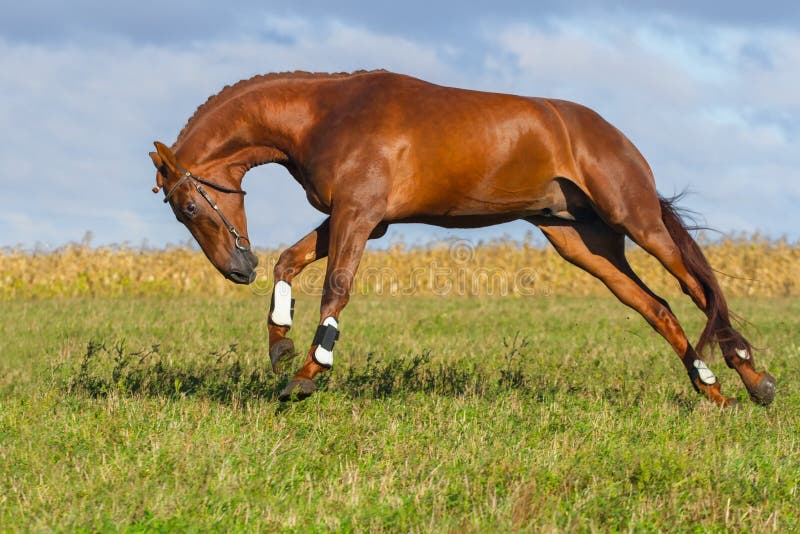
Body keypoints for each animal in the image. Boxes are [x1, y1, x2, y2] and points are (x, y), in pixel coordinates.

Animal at [148, 70, 776, 406]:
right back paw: (712, 389)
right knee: (656, 305)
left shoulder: (358, 217)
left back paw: (752, 377)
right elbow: (287, 263)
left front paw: (307, 373)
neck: (325, 115)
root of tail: (608, 132)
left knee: (699, 289)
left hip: (636, 221)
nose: (237, 269)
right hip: (584, 243)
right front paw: (279, 346)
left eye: (188, 204)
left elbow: (335, 289)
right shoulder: (352, 218)